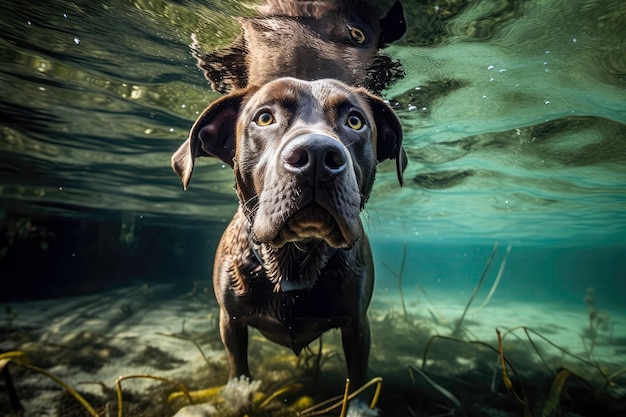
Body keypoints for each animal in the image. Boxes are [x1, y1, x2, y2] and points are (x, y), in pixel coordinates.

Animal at [172, 76, 404, 386]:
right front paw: (239, 392)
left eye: (355, 121)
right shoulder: (230, 323)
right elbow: (238, 367)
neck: (295, 258)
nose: (318, 154)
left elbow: (357, 380)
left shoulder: (357, 325)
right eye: (264, 117)